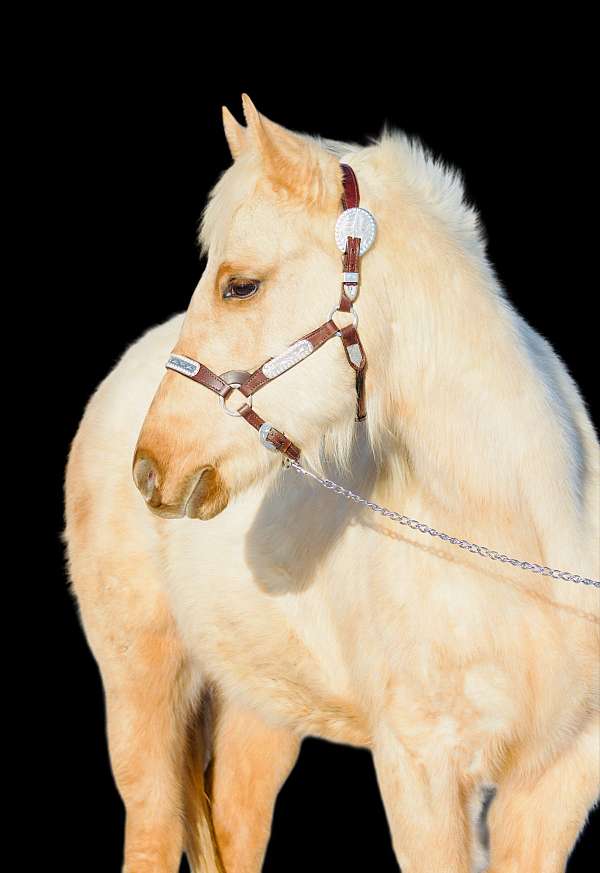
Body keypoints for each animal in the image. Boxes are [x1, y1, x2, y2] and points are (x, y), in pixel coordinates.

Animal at [63, 92, 596, 868]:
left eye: (240, 285)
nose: (153, 466)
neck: (515, 551)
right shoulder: (421, 770)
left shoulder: (558, 780)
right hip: (142, 684)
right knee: (154, 830)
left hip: (261, 705)